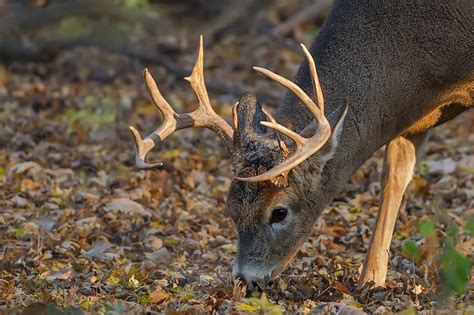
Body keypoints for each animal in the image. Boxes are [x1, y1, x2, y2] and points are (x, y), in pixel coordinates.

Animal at [128, 0, 472, 292]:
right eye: (231, 209)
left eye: (279, 213)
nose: (244, 280)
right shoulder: (413, 122)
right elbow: (394, 181)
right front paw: (370, 281)